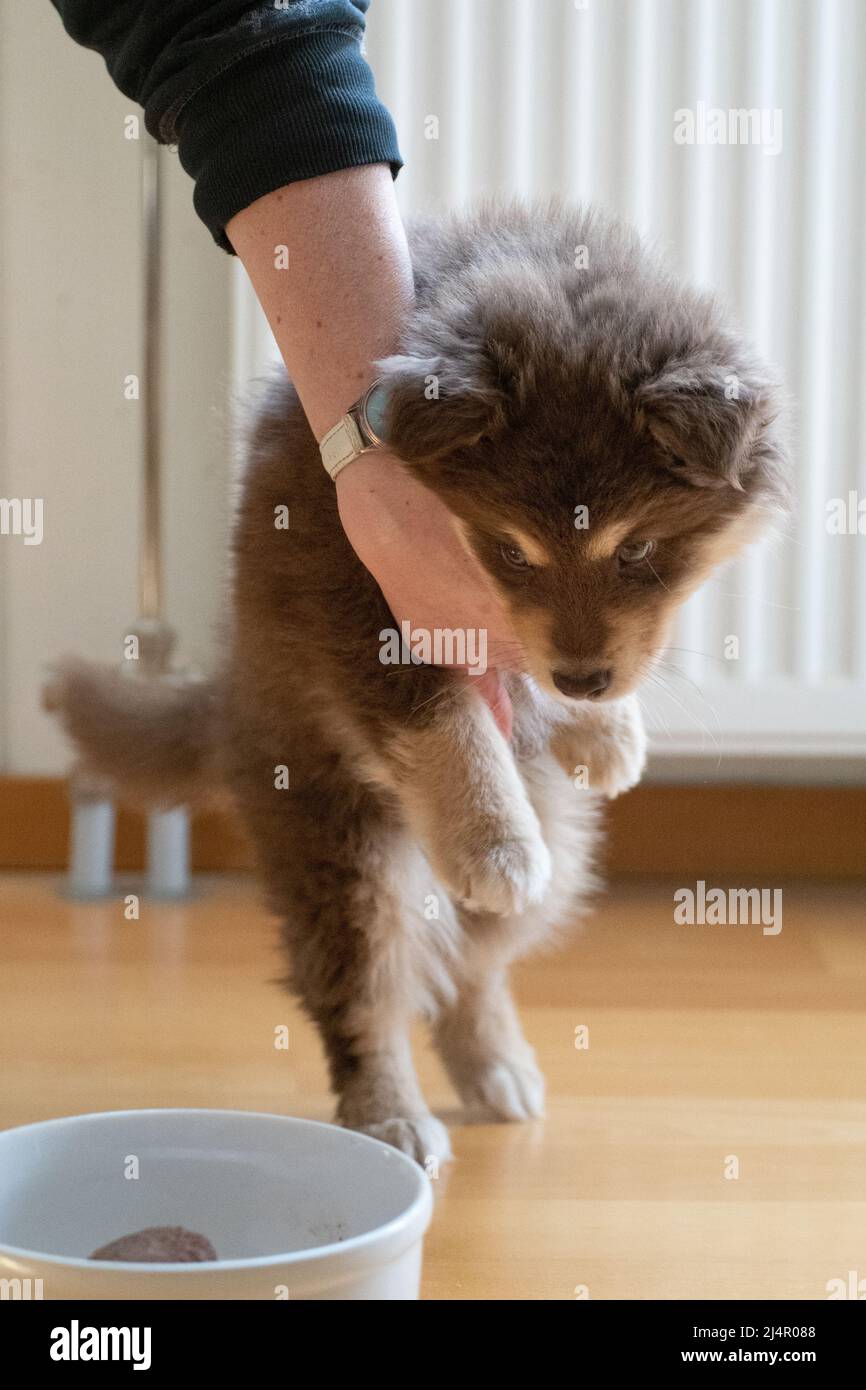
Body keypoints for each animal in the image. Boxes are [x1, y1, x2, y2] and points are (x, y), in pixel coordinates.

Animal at [48, 201, 795, 1167]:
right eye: (510, 549)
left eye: (636, 549)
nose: (584, 679)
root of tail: (227, 708)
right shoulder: (353, 600)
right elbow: (443, 720)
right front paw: (493, 838)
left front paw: (603, 731)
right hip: (339, 843)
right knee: (369, 991)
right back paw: (390, 1113)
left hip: (559, 853)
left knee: (467, 969)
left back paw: (494, 1062)